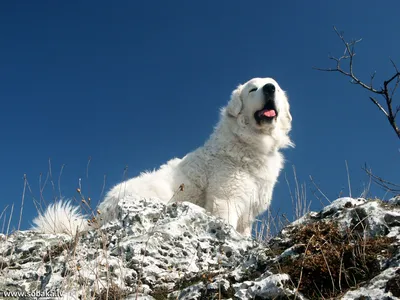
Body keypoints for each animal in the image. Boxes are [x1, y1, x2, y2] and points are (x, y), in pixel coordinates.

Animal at [32, 78, 292, 237]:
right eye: (252, 89)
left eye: (276, 88)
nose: (269, 88)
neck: (249, 143)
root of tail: (99, 214)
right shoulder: (226, 201)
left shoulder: (248, 213)